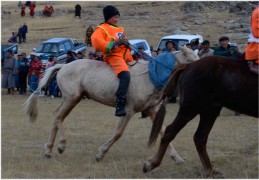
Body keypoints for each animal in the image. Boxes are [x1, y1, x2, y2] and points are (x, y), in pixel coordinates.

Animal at [24, 46, 199, 163]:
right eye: (191, 59)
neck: (149, 76)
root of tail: (64, 65)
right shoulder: (128, 111)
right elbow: (118, 133)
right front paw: (100, 153)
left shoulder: (151, 110)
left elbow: (163, 131)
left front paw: (177, 157)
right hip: (71, 99)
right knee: (58, 117)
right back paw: (60, 146)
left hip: (73, 99)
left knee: (58, 117)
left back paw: (49, 150)